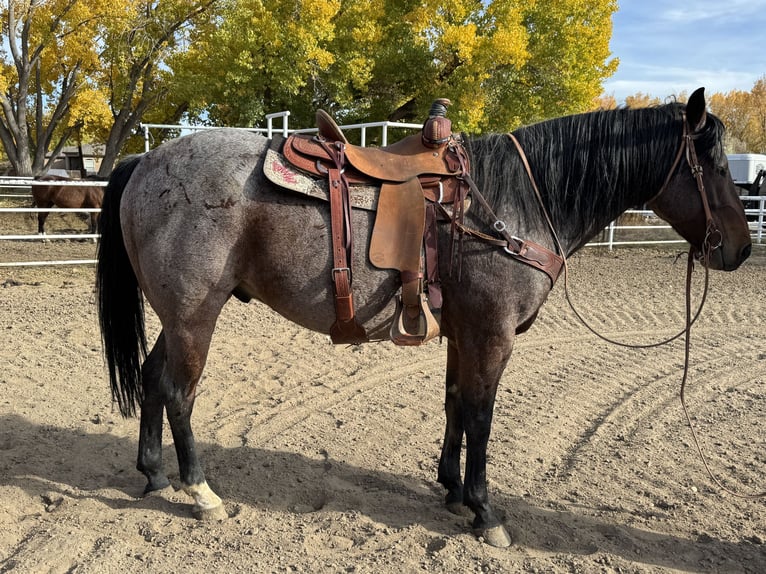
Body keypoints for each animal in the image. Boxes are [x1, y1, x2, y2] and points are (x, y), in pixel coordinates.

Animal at [96, 88, 751, 548]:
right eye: (717, 167)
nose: (741, 250)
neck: (516, 202)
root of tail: (147, 160)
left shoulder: (464, 335)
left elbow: (455, 403)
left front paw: (453, 489)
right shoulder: (492, 336)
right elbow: (482, 417)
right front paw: (485, 511)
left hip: (176, 317)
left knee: (153, 380)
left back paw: (154, 474)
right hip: (195, 315)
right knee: (179, 391)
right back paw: (199, 490)